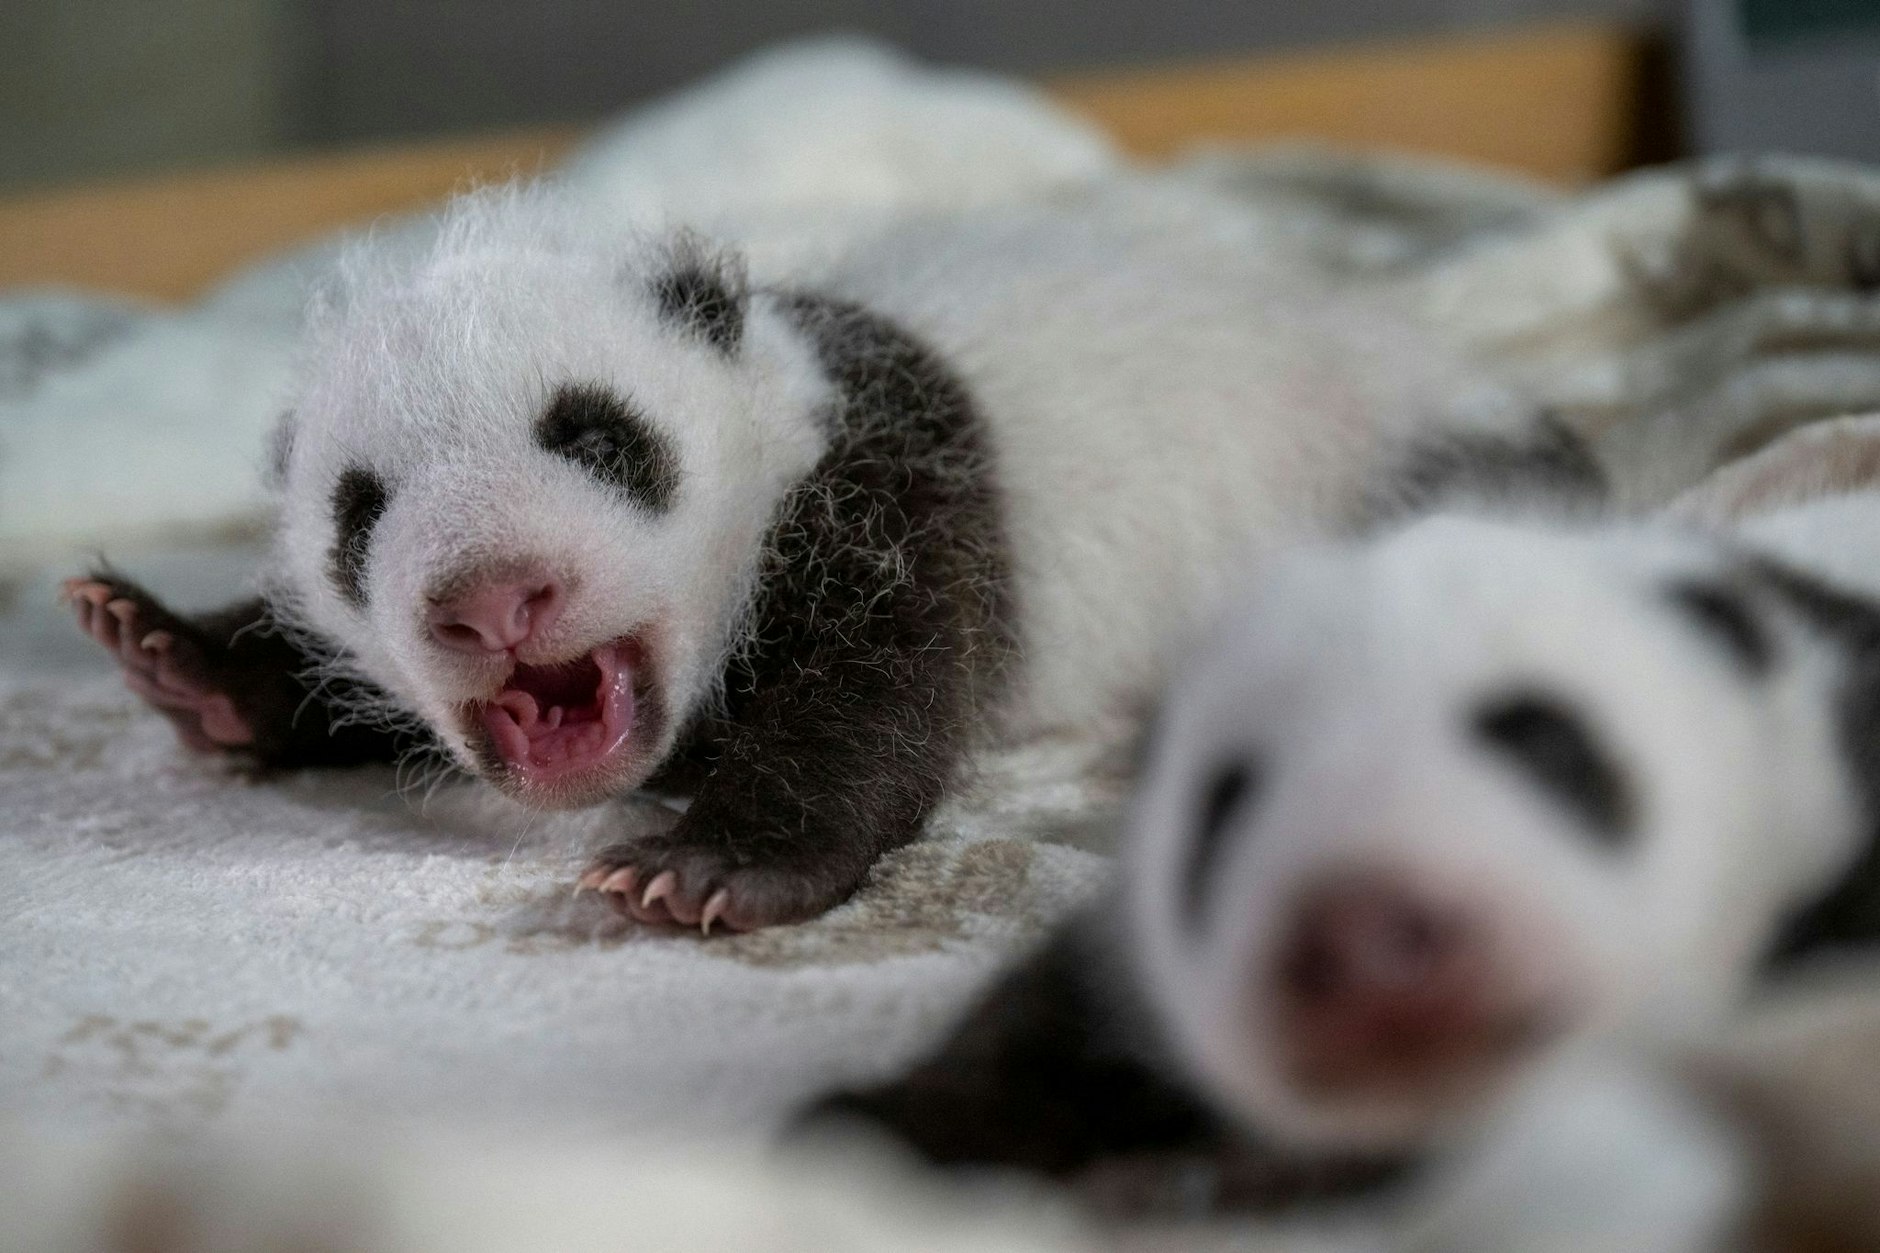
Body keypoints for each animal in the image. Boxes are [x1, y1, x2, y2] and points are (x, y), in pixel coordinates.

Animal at [62, 179, 1536, 933]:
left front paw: (707, 864)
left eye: (596, 434)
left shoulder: (887, 486)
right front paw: (176, 652)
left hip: (1365, 467)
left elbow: (879, 690)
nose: (493, 599)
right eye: (358, 513)